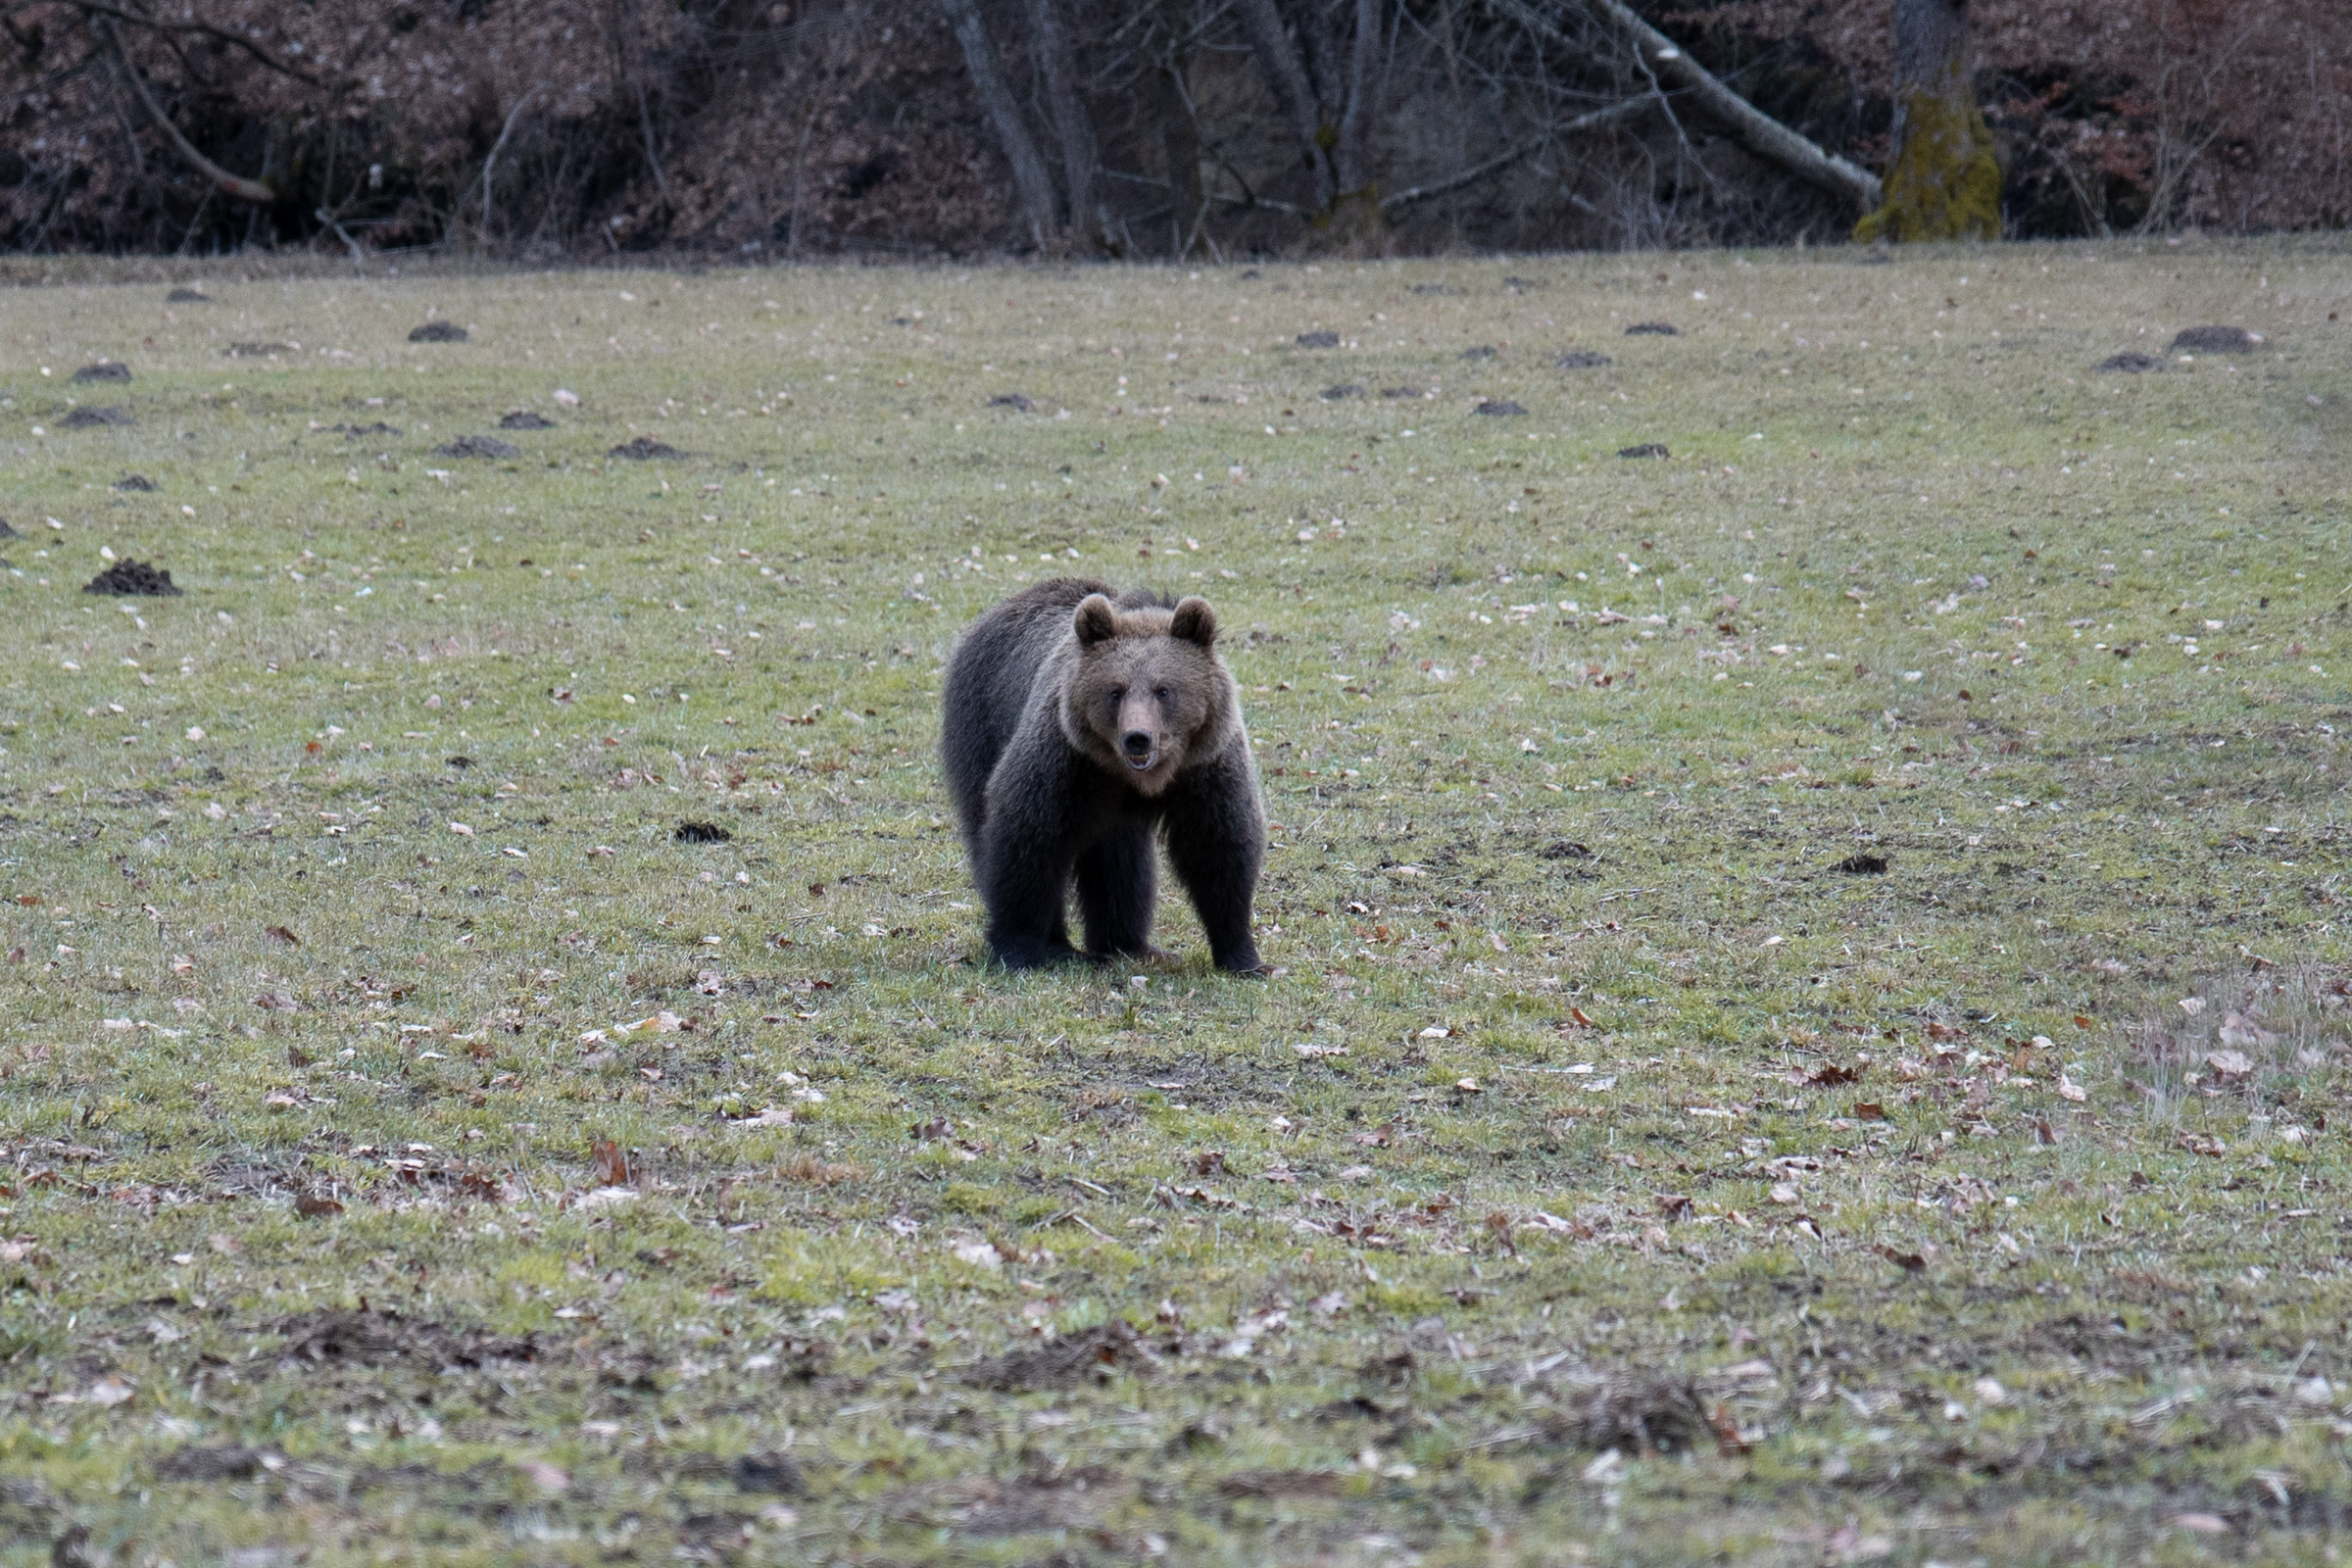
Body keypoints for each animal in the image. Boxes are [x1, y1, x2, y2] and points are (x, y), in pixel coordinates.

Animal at [936, 575, 1270, 968]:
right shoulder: (1066, 761)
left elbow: (1218, 847)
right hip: (982, 723)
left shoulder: (1203, 767)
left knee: (1121, 859)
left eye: (1164, 690)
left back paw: (1126, 942)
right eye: (1116, 690)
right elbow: (1028, 837)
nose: (1137, 738)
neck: (1136, 778)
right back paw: (1064, 946)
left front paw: (1243, 955)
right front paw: (1019, 947)